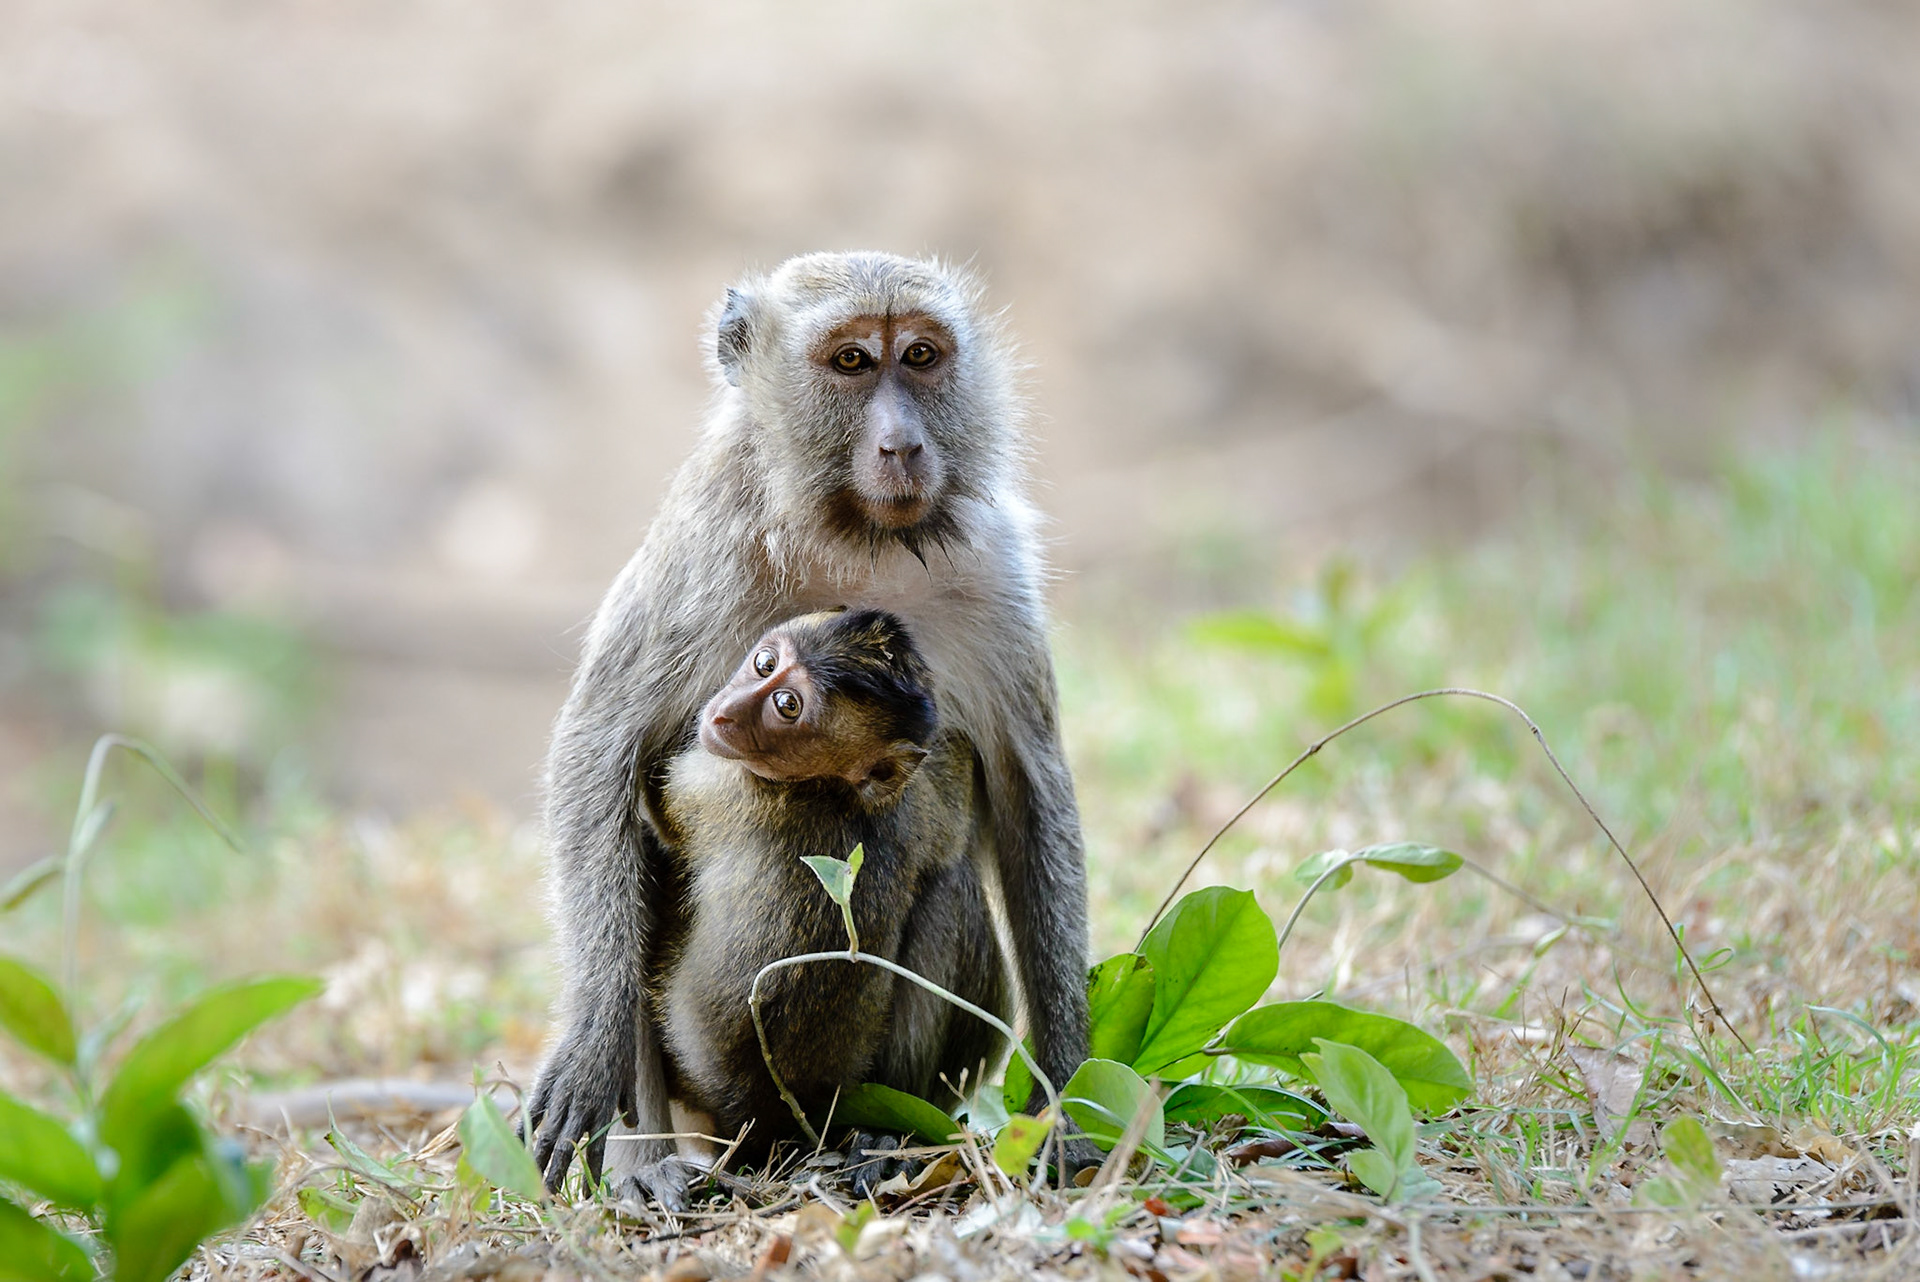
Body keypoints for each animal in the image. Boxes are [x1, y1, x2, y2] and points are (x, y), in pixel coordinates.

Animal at [650, 609, 1008, 1190]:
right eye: (765, 663)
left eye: (787, 706)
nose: (724, 712)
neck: (825, 788)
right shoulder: (913, 801)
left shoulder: (711, 784)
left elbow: (662, 817)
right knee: (951, 885)